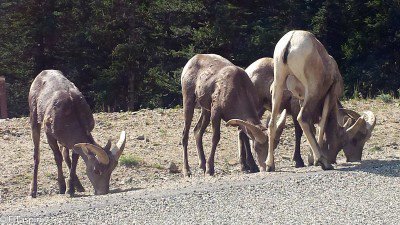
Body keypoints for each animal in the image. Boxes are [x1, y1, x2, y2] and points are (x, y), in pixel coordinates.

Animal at [242, 57, 376, 168]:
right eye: (354, 140)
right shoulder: (297, 110)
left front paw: (312, 159)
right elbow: (300, 133)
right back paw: (250, 167)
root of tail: (248, 71)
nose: (355, 159)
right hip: (256, 107)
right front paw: (300, 161)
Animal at [268, 29, 374, 171]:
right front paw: (315, 160)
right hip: (313, 91)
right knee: (302, 118)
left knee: (272, 123)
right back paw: (324, 162)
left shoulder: (302, 98)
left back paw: (270, 165)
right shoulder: (330, 94)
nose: (355, 158)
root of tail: (291, 40)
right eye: (356, 139)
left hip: (279, 86)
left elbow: (313, 127)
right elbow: (322, 123)